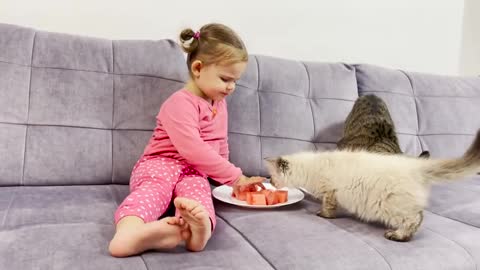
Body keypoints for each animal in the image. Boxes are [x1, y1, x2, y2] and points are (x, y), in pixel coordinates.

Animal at [264, 130, 480, 242]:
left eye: (271, 178)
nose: (271, 183)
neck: (311, 169)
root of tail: (416, 165)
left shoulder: (330, 192)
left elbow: (328, 208)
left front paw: (322, 214)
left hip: (390, 206)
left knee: (415, 219)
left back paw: (397, 235)